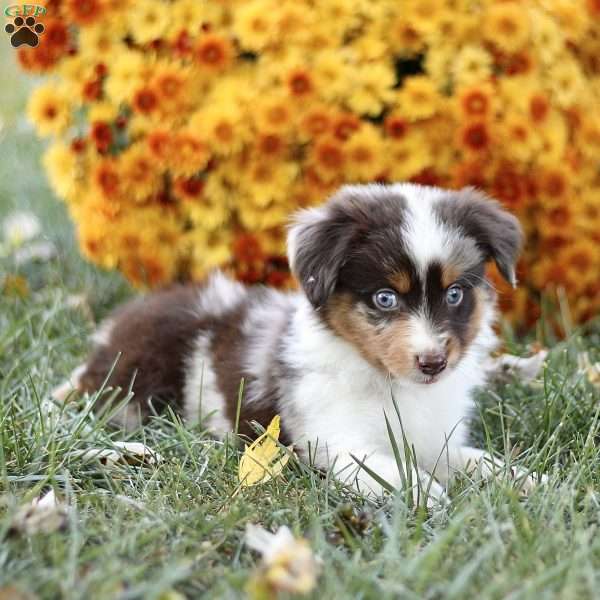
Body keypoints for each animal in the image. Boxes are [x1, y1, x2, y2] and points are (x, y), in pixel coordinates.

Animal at [57, 185, 544, 504]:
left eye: (455, 294)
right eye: (384, 298)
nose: (433, 363)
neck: (389, 381)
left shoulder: (433, 439)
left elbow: (472, 460)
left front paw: (524, 479)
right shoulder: (330, 439)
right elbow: (383, 468)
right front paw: (425, 494)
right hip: (132, 384)